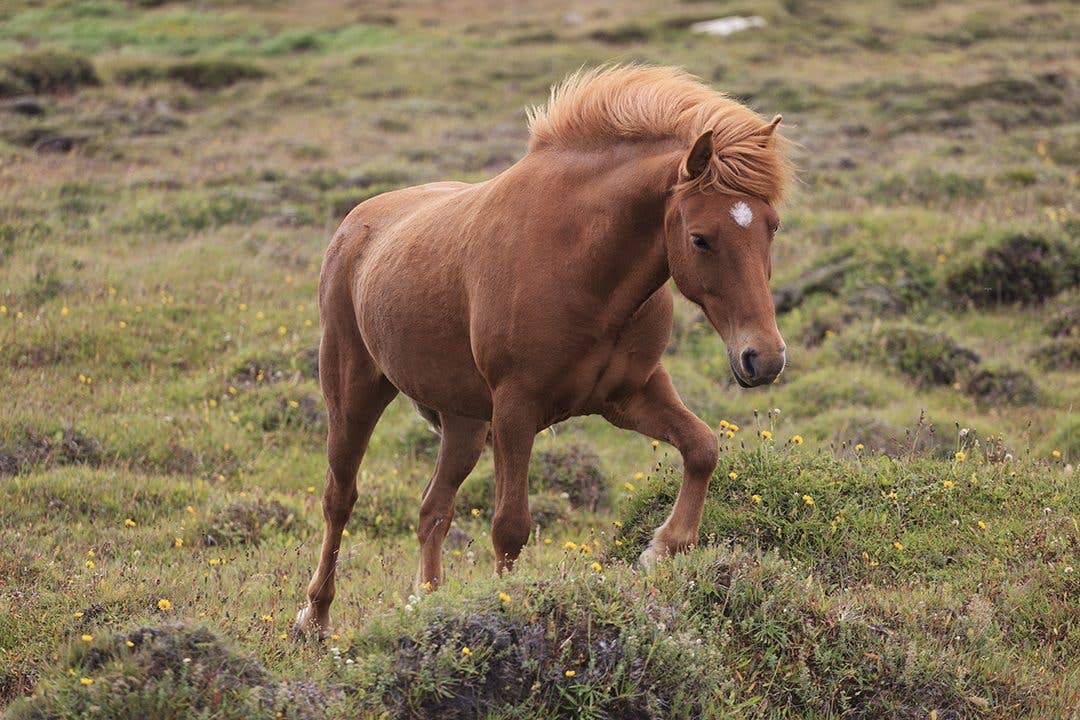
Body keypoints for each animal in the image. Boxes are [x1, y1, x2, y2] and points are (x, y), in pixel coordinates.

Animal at [296, 65, 793, 635]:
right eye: (700, 238)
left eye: (772, 226)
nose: (764, 358)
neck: (581, 265)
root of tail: (354, 224)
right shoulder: (517, 409)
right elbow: (510, 526)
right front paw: (508, 610)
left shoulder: (632, 395)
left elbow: (703, 448)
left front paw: (663, 548)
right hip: (354, 393)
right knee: (340, 500)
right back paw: (315, 618)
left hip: (464, 424)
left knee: (432, 510)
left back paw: (425, 604)